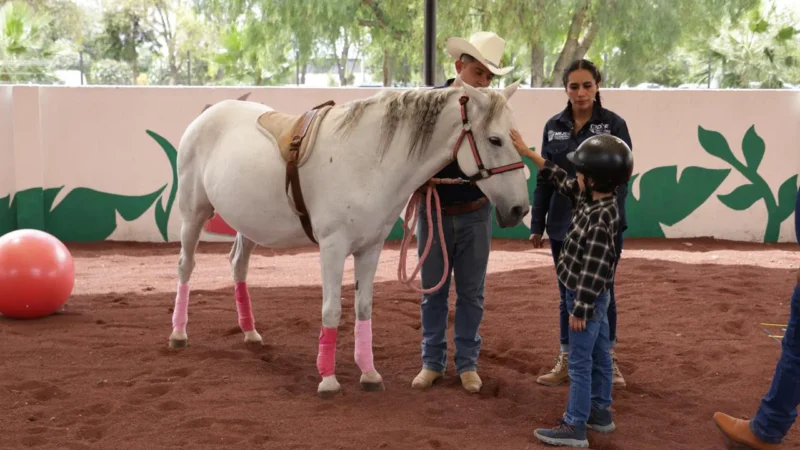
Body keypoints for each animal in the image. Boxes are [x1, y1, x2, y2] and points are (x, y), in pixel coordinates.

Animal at [169, 81, 532, 398]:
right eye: (496, 140)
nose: (519, 209)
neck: (367, 161)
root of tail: (210, 112)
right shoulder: (332, 247)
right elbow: (331, 311)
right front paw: (328, 380)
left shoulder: (370, 248)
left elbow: (363, 307)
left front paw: (369, 374)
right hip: (194, 212)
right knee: (186, 265)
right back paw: (178, 334)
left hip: (249, 223)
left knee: (238, 265)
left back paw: (250, 332)